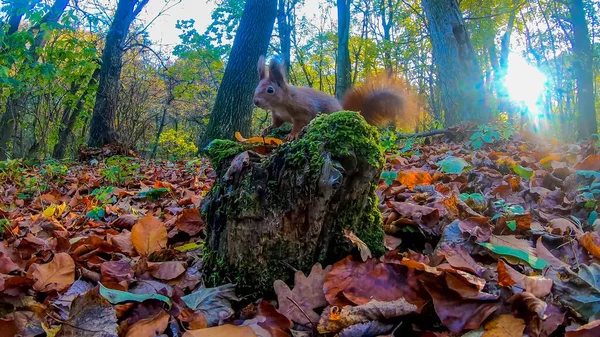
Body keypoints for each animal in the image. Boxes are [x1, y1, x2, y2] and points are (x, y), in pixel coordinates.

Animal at [251, 55, 414, 140]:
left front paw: (292, 134)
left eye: (270, 90)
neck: (281, 104)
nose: (256, 102)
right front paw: (267, 129)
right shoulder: (277, 114)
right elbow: (276, 123)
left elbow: (300, 123)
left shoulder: (303, 110)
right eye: (256, 88)